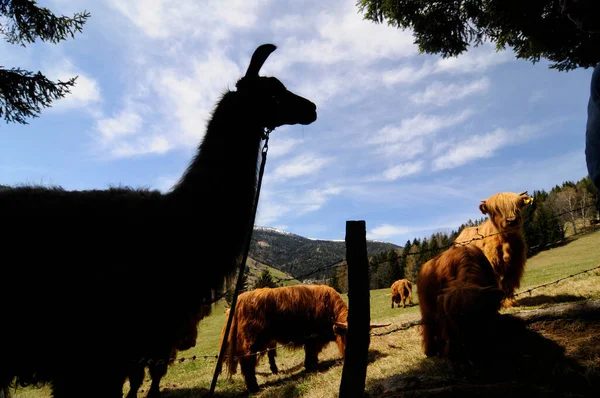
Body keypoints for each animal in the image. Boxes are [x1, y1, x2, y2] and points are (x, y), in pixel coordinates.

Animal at [220, 284, 390, 394]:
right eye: (349, 337)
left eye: (367, 338)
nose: (362, 357)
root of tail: (239, 301)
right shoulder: (312, 336)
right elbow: (310, 351)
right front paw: (311, 365)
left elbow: (312, 352)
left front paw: (312, 363)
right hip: (253, 341)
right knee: (247, 363)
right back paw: (254, 387)